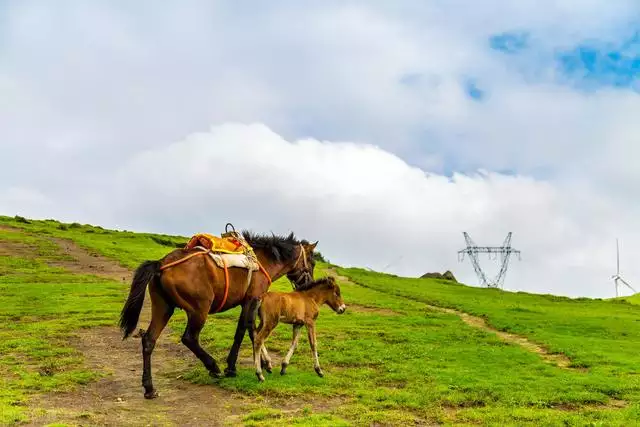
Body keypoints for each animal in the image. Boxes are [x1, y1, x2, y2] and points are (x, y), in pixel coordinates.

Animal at [117, 229, 318, 400]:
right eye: (313, 262)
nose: (308, 285)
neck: (262, 261)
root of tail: (162, 263)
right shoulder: (251, 300)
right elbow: (246, 331)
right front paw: (239, 366)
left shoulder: (249, 303)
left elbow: (249, 331)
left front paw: (258, 363)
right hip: (199, 310)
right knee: (189, 338)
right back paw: (213, 367)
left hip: (163, 307)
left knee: (149, 340)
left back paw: (149, 388)